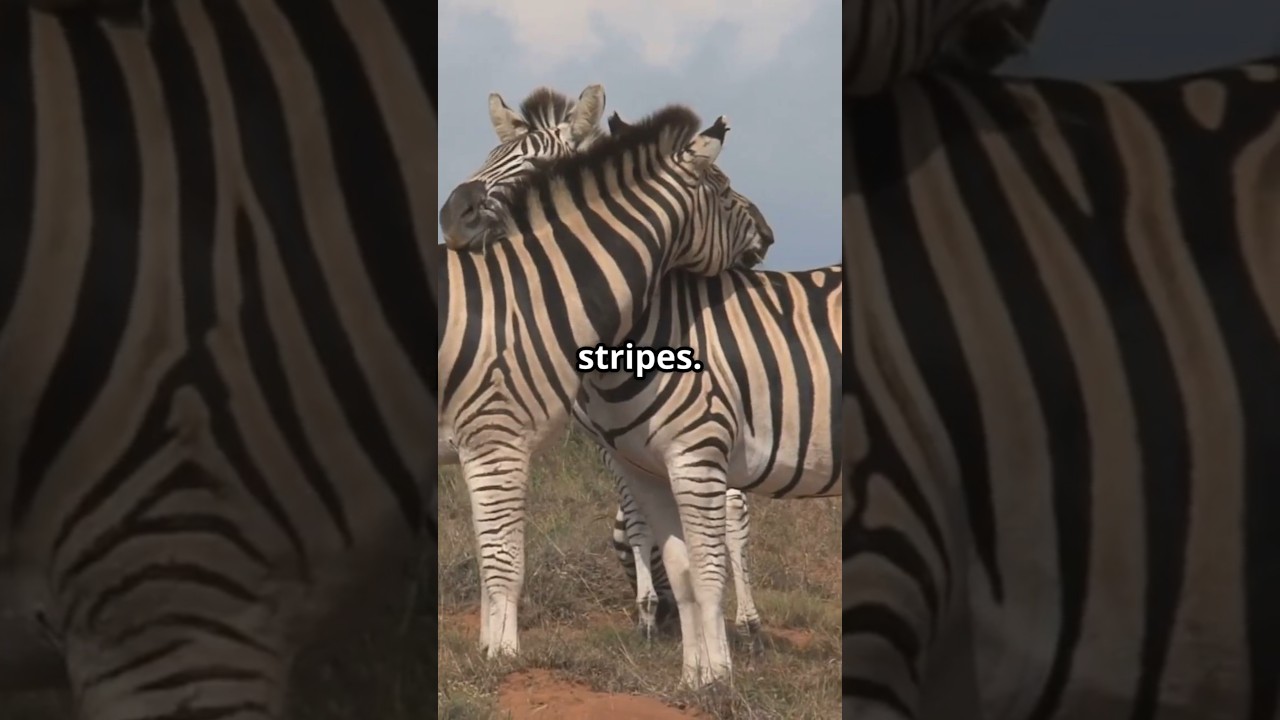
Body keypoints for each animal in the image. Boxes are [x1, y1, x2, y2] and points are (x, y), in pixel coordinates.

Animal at [438, 104, 773, 665]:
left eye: (533, 165)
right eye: (724, 188)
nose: (452, 217)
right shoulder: (525, 439)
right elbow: (504, 555)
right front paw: (502, 653)